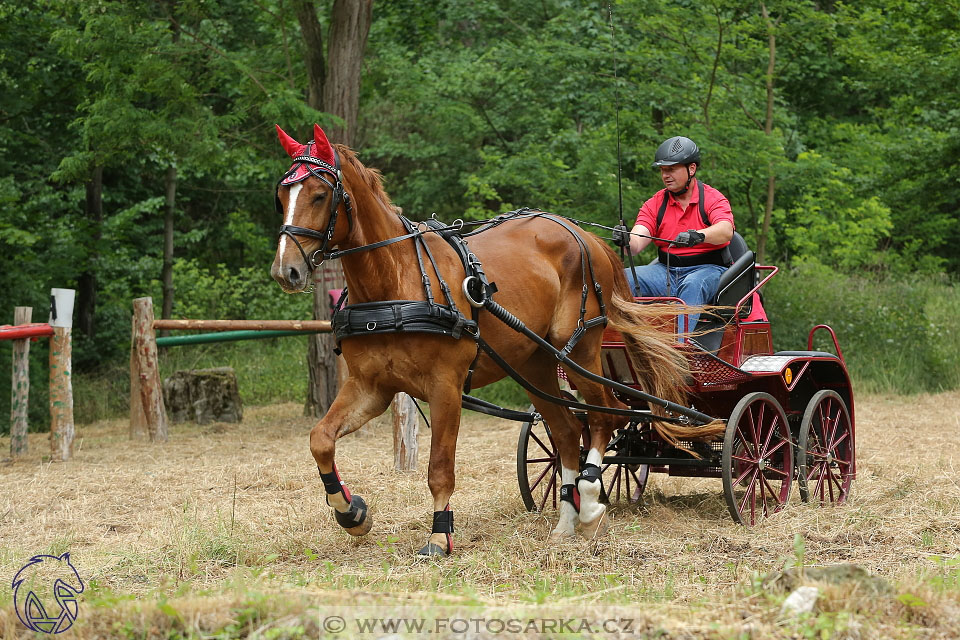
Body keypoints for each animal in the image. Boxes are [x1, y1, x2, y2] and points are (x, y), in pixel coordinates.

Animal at [274, 124, 708, 556]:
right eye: (281, 196)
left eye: (319, 194)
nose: (285, 271)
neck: (396, 281)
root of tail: (586, 237)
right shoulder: (370, 386)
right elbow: (320, 439)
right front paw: (351, 512)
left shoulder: (445, 386)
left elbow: (439, 468)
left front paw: (439, 535)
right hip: (534, 365)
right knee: (568, 432)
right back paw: (566, 521)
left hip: (580, 349)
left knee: (605, 417)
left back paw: (588, 502)